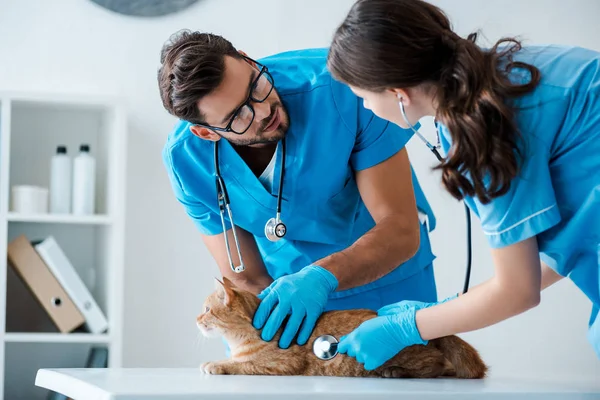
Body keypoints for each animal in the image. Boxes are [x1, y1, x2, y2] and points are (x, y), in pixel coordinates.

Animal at [197, 276, 488, 380]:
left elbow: (243, 364)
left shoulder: (282, 364)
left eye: (207, 309)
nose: (196, 319)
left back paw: (396, 372)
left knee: (436, 364)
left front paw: (215, 364)